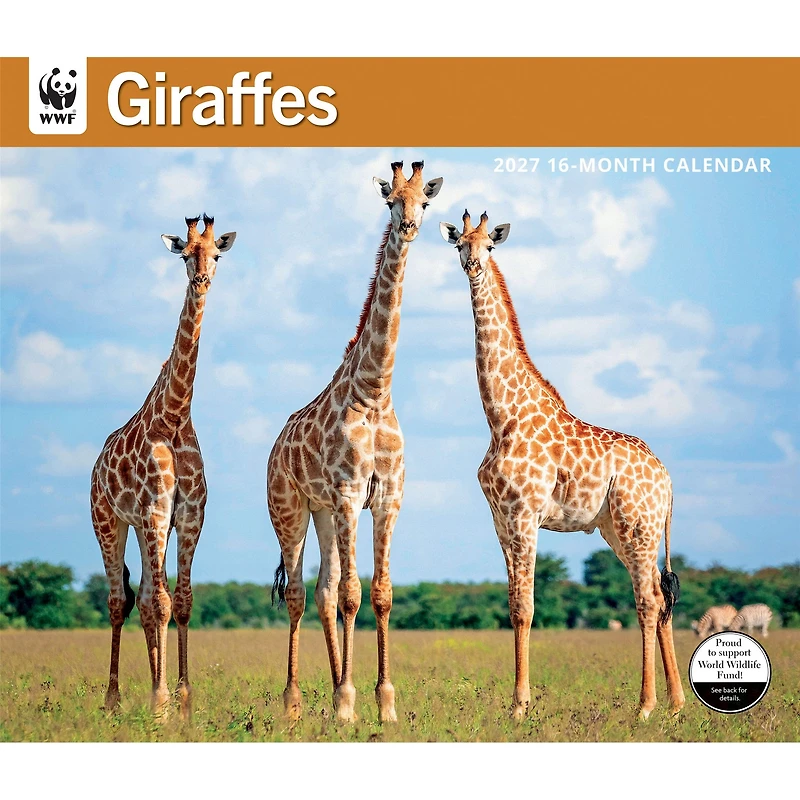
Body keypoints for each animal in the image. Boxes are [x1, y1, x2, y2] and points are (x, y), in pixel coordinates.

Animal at [90, 214, 236, 719]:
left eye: (216, 254)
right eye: (185, 254)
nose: (202, 279)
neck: (174, 416)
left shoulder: (188, 514)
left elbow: (182, 600)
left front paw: (183, 701)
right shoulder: (155, 512)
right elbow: (164, 602)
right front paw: (159, 702)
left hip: (139, 526)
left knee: (147, 598)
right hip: (108, 521)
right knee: (120, 600)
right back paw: (113, 699)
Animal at [267, 161, 443, 723]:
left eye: (424, 202)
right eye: (391, 201)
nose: (408, 227)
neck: (374, 391)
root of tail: (276, 446)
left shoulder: (386, 496)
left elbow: (379, 593)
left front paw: (383, 703)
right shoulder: (348, 492)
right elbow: (352, 594)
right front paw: (347, 704)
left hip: (322, 512)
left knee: (322, 592)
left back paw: (329, 689)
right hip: (291, 510)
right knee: (301, 592)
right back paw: (295, 701)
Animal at [439, 210, 685, 721]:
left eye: (488, 246)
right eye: (459, 244)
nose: (472, 266)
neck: (500, 416)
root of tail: (668, 480)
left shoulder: (524, 514)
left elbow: (526, 607)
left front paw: (520, 705)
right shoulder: (500, 519)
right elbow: (513, 604)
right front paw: (517, 703)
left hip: (637, 525)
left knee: (649, 599)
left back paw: (646, 706)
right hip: (621, 530)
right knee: (660, 593)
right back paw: (675, 704)